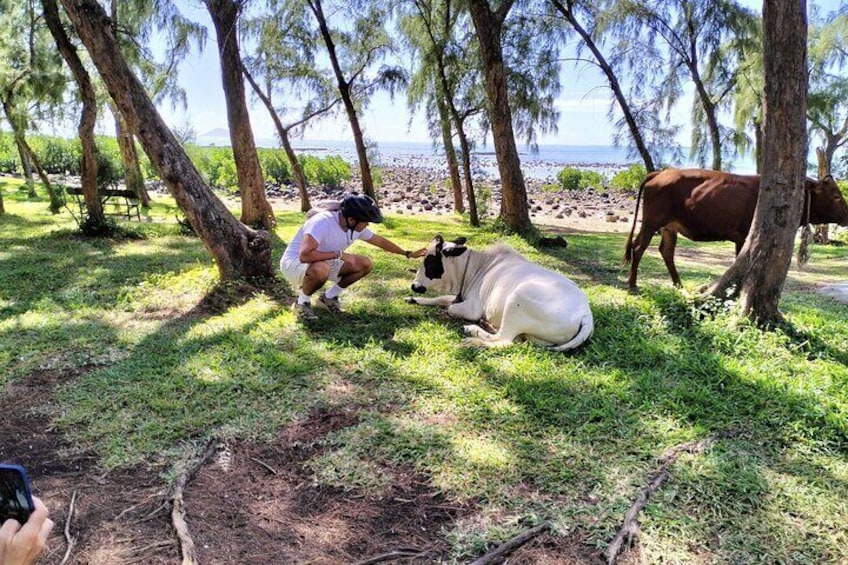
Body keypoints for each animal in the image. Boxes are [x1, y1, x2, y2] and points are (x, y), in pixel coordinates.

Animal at [406, 232, 592, 348]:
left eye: (430, 261)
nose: (414, 286)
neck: (476, 266)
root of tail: (585, 314)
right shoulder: (459, 296)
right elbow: (441, 298)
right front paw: (413, 299)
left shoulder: (473, 308)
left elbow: (450, 308)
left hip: (518, 298)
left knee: (505, 340)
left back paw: (473, 334)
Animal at [624, 169, 848, 294]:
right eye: (836, 195)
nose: (847, 214)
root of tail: (661, 173)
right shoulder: (743, 236)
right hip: (651, 222)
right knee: (639, 247)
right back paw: (633, 284)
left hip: (669, 227)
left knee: (666, 251)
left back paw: (678, 285)